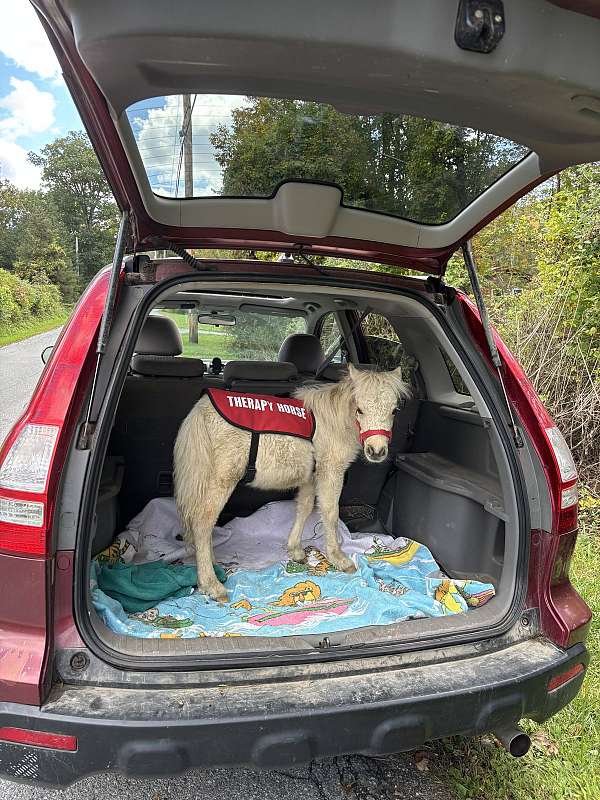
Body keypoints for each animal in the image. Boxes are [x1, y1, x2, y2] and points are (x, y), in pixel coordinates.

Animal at [174, 364, 411, 601]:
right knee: (202, 523)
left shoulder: (310, 476)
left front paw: (295, 550)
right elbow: (330, 513)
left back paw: (212, 564)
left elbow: (304, 508)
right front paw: (338, 558)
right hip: (221, 480)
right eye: (359, 409)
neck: (333, 423)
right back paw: (211, 583)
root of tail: (201, 410)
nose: (376, 451)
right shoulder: (330, 471)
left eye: (393, 411)